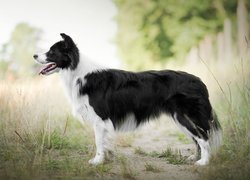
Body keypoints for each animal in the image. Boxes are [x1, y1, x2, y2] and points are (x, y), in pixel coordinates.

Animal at [32, 33, 221, 165]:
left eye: (51, 52)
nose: (34, 55)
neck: (78, 72)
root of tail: (199, 80)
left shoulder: (100, 118)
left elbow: (98, 142)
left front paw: (97, 161)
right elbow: (103, 142)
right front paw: (106, 158)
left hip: (187, 116)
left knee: (203, 137)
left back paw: (203, 162)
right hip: (180, 118)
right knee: (197, 138)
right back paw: (194, 157)